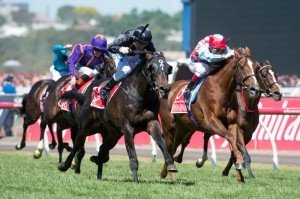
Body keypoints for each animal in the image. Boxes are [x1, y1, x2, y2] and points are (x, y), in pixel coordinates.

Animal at [57, 51, 176, 182]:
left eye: (168, 68)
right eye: (152, 68)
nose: (164, 89)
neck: (140, 95)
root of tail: (88, 91)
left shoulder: (152, 122)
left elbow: (162, 142)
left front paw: (171, 165)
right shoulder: (127, 127)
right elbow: (132, 154)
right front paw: (135, 180)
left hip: (113, 133)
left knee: (103, 149)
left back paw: (98, 171)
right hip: (86, 125)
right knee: (78, 143)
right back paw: (64, 165)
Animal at [159, 47, 260, 182]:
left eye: (256, 67)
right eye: (241, 66)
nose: (255, 89)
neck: (221, 90)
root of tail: (169, 87)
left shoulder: (233, 123)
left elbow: (233, 140)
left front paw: (240, 174)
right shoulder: (211, 121)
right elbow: (230, 137)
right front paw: (239, 161)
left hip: (183, 127)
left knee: (173, 147)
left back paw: (166, 172)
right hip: (169, 125)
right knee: (169, 147)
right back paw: (170, 172)